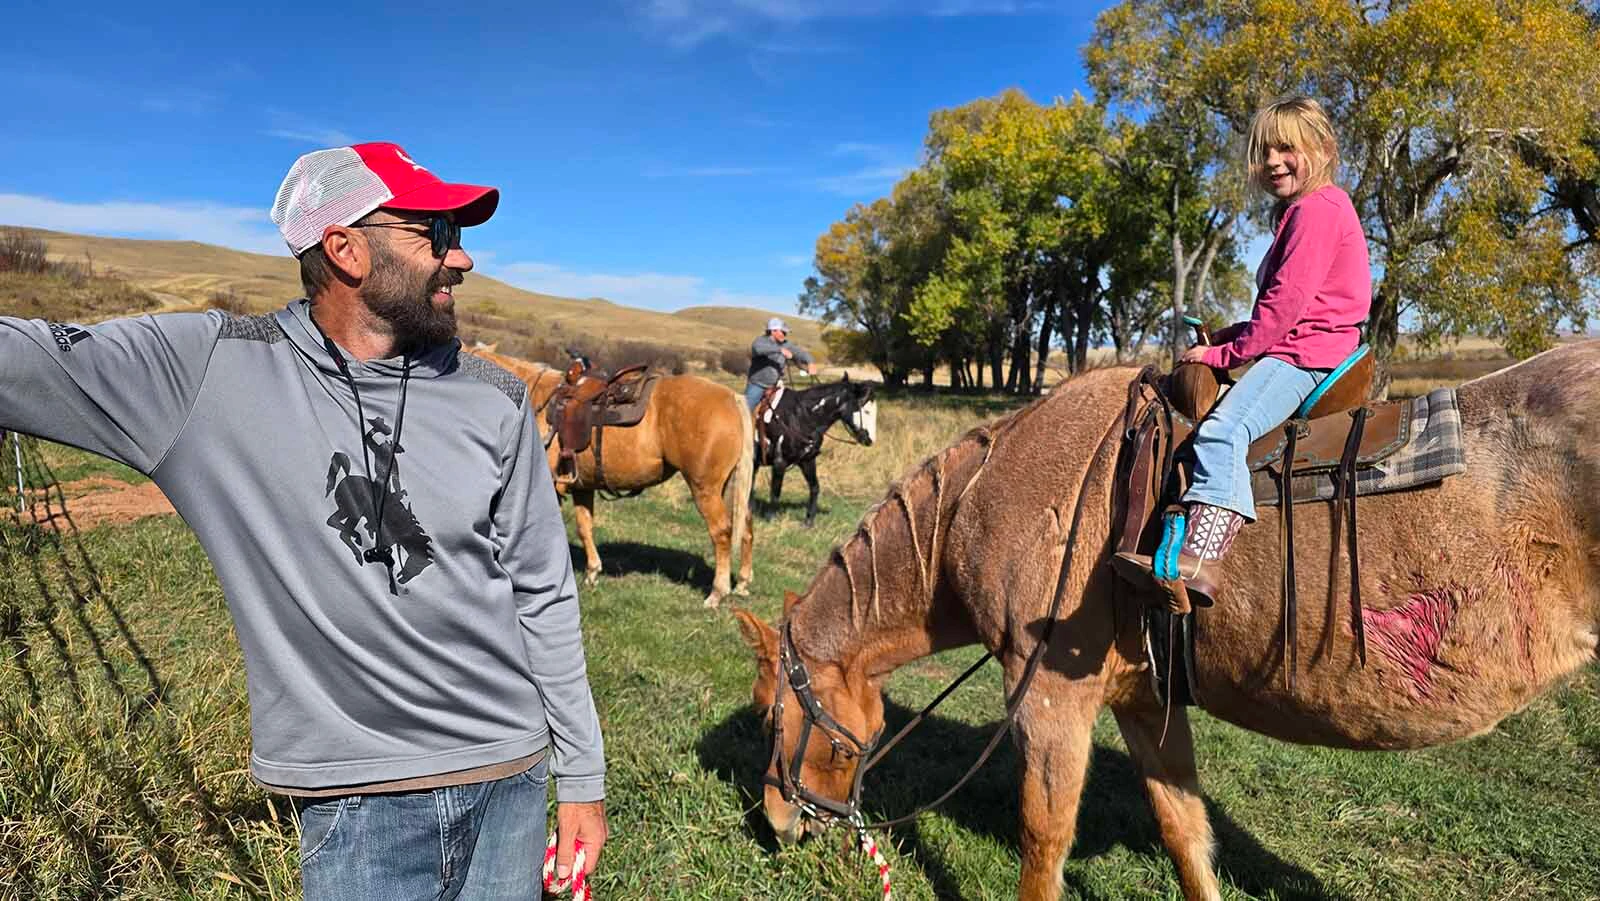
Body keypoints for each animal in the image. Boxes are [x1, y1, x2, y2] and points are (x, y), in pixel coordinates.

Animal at [464, 346, 754, 607]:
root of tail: (732, 397)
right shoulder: (582, 486)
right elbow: (584, 526)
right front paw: (592, 572)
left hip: (704, 487)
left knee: (721, 532)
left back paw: (717, 593)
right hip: (729, 487)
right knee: (746, 527)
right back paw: (742, 583)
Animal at [754, 378, 877, 527]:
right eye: (867, 411)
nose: (870, 440)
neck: (799, 417)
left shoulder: (807, 461)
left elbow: (815, 487)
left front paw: (809, 521)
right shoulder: (779, 462)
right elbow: (775, 491)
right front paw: (771, 518)